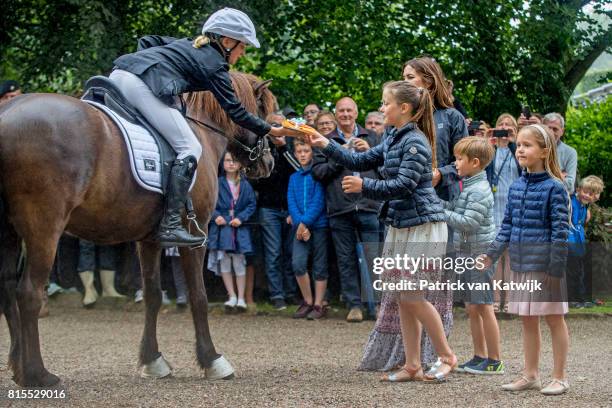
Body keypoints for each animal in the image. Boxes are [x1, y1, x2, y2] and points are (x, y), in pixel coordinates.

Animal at [0, 70, 278, 386]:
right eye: (263, 109)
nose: (269, 162)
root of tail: (7, 114)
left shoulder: (150, 240)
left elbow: (153, 295)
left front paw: (152, 360)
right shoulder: (196, 236)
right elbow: (198, 296)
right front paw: (212, 360)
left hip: (9, 232)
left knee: (7, 289)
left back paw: (18, 367)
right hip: (44, 230)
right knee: (29, 292)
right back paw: (37, 374)